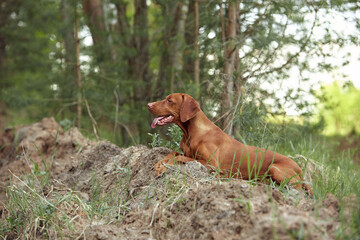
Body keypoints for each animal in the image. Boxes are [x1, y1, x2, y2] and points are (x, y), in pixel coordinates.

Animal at [146, 93, 312, 196]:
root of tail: (300, 168)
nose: (148, 104)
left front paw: (163, 166)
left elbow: (179, 158)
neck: (190, 132)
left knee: (296, 189)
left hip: (275, 168)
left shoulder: (211, 164)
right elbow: (173, 153)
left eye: (169, 100)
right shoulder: (187, 152)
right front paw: (159, 164)